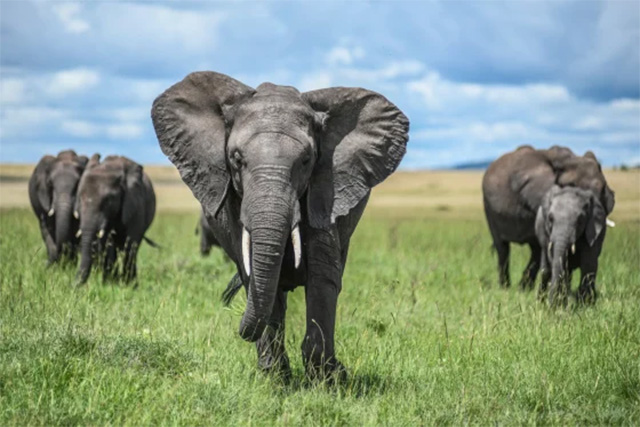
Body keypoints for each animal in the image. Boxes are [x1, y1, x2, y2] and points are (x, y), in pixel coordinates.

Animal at [74, 154, 156, 285]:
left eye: (108, 200)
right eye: (80, 198)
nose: (73, 286)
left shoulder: (136, 204)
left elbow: (131, 242)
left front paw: (129, 285)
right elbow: (109, 244)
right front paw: (110, 284)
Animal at [151, 71, 409, 380]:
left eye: (307, 160)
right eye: (236, 159)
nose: (238, 326)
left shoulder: (324, 191)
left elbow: (323, 277)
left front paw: (327, 378)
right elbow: (257, 277)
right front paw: (275, 377)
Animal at [482, 145, 614, 290]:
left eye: (602, 189)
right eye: (572, 185)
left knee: (535, 250)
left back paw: (524, 288)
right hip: (489, 208)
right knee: (503, 248)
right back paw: (506, 288)